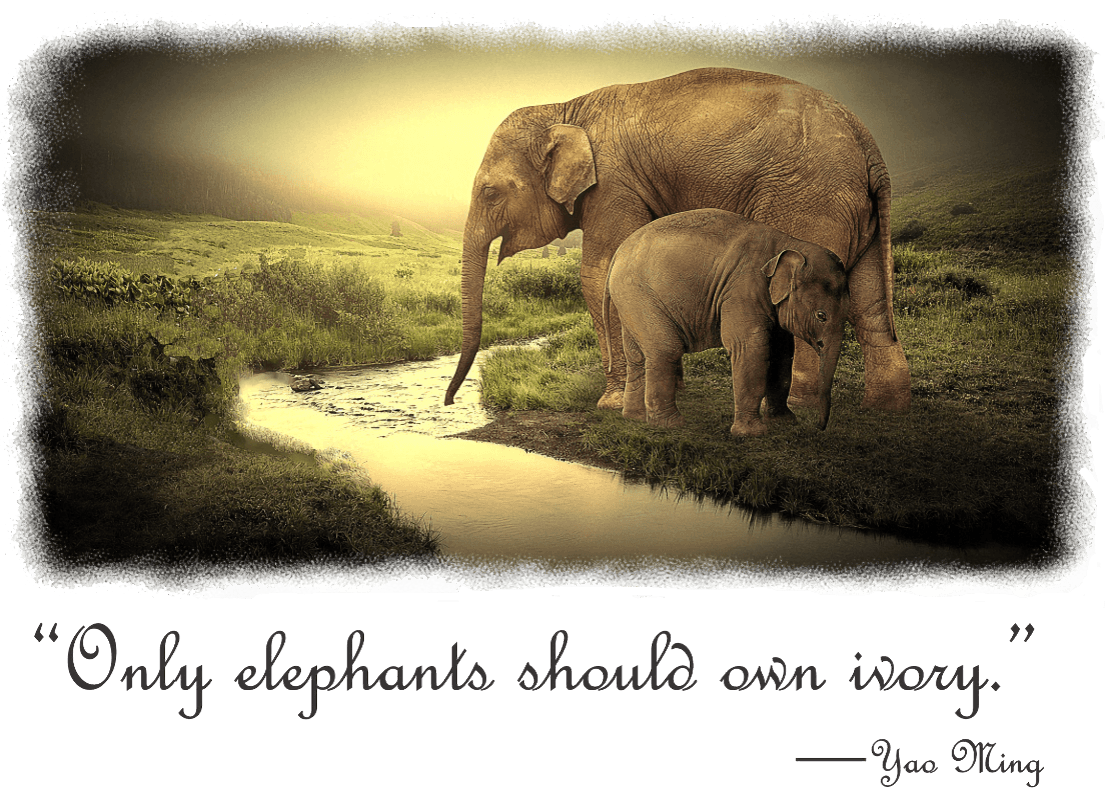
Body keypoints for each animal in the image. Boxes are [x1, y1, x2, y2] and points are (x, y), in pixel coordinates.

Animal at [444, 66, 910, 413]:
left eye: (490, 192)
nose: (449, 402)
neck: (565, 107)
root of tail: (870, 148)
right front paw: (668, 385)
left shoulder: (613, 185)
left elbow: (600, 272)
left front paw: (611, 404)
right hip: (857, 212)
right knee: (870, 304)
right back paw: (886, 410)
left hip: (810, 200)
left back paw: (793, 408)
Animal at [609, 208, 848, 437]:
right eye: (821, 316)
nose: (819, 427)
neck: (789, 243)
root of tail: (618, 252)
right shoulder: (741, 292)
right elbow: (750, 348)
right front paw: (751, 434)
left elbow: (782, 352)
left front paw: (785, 423)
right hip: (638, 296)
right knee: (665, 349)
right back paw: (670, 424)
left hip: (630, 302)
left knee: (636, 356)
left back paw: (635, 417)